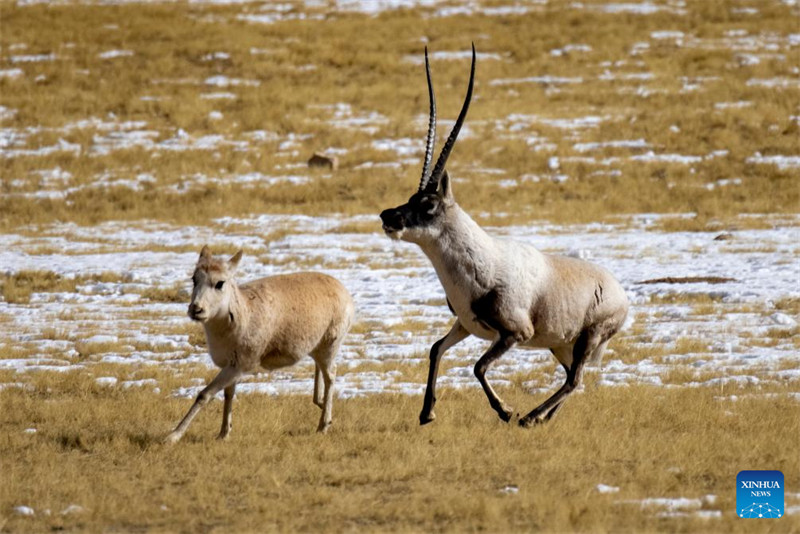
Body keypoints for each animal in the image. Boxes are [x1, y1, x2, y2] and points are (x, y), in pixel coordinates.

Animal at [165, 247, 354, 444]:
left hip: (330, 344)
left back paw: (324, 424)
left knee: (331, 376)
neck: (242, 313)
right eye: (194, 279)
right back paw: (320, 403)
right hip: (317, 347)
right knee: (320, 370)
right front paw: (223, 433)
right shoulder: (230, 365)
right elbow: (228, 394)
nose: (196, 309)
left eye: (219, 283)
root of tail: (343, 290)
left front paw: (173, 436)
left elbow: (204, 395)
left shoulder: (240, 365)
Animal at [382, 47, 632, 432]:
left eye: (428, 205)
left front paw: (505, 410)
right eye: (410, 198)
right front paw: (427, 413)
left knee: (574, 379)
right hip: (561, 345)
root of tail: (618, 290)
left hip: (588, 337)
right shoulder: (466, 323)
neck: (483, 261)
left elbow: (478, 367)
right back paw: (543, 417)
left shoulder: (515, 334)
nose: (388, 217)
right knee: (573, 378)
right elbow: (436, 348)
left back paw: (530, 416)